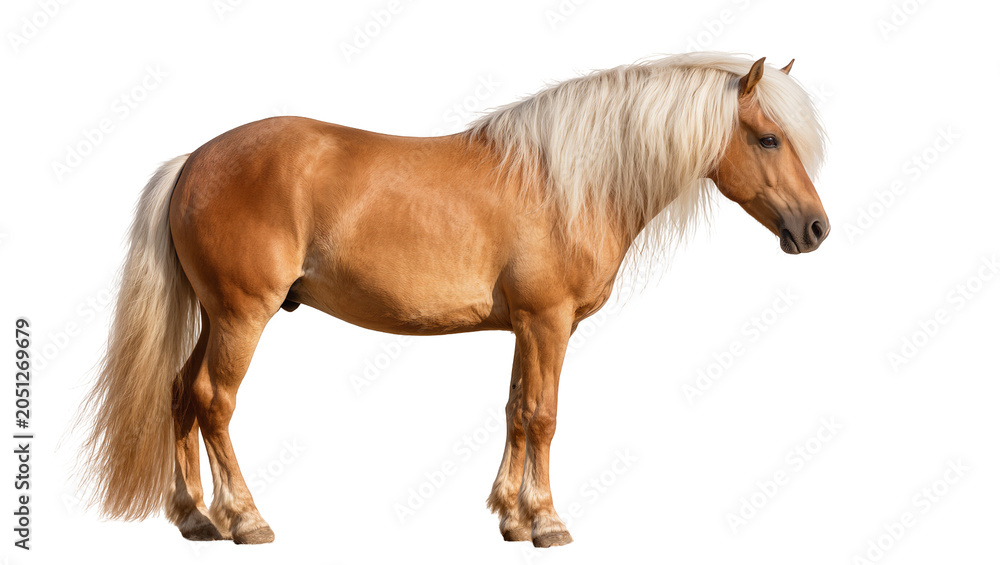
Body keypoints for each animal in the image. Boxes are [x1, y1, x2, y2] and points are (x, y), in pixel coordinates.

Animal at [78, 52, 828, 548]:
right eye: (768, 138)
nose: (815, 228)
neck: (566, 183)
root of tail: (194, 160)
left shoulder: (525, 327)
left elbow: (517, 412)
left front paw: (510, 516)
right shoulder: (549, 322)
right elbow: (544, 416)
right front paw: (547, 521)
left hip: (215, 314)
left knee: (180, 392)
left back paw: (193, 516)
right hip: (242, 313)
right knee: (214, 400)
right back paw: (244, 518)